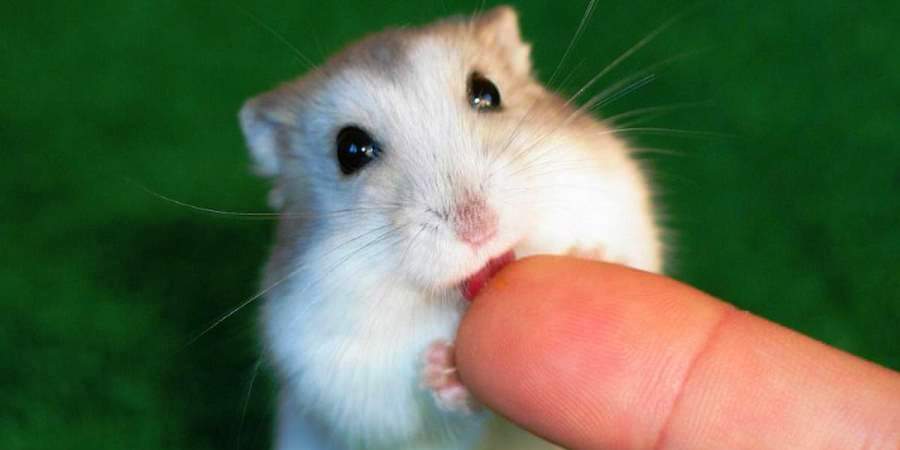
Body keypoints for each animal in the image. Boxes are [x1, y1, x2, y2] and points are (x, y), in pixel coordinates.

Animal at [239, 6, 662, 450]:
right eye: (350, 150)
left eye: (487, 92)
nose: (479, 228)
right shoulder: (338, 375)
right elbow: (429, 418)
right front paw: (443, 370)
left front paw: (592, 256)